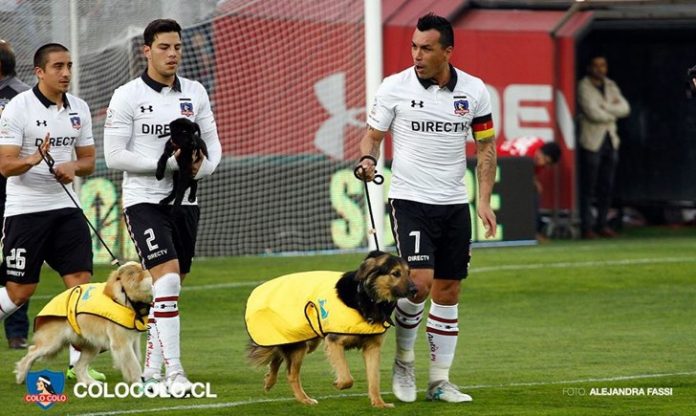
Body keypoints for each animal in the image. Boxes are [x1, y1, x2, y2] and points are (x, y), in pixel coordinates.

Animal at [15, 262, 152, 386]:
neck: (125, 295)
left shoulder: (132, 340)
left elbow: (136, 359)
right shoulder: (121, 343)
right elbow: (133, 364)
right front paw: (140, 382)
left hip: (92, 347)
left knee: (79, 366)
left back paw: (90, 382)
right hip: (52, 343)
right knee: (31, 352)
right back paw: (21, 375)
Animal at [247, 250, 416, 406]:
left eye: (408, 272)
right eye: (395, 273)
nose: (415, 289)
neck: (366, 297)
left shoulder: (372, 347)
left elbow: (374, 379)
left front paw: (379, 403)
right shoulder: (334, 341)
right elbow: (347, 377)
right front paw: (339, 383)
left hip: (306, 340)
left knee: (278, 356)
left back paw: (271, 381)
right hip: (298, 342)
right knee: (291, 373)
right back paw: (304, 399)